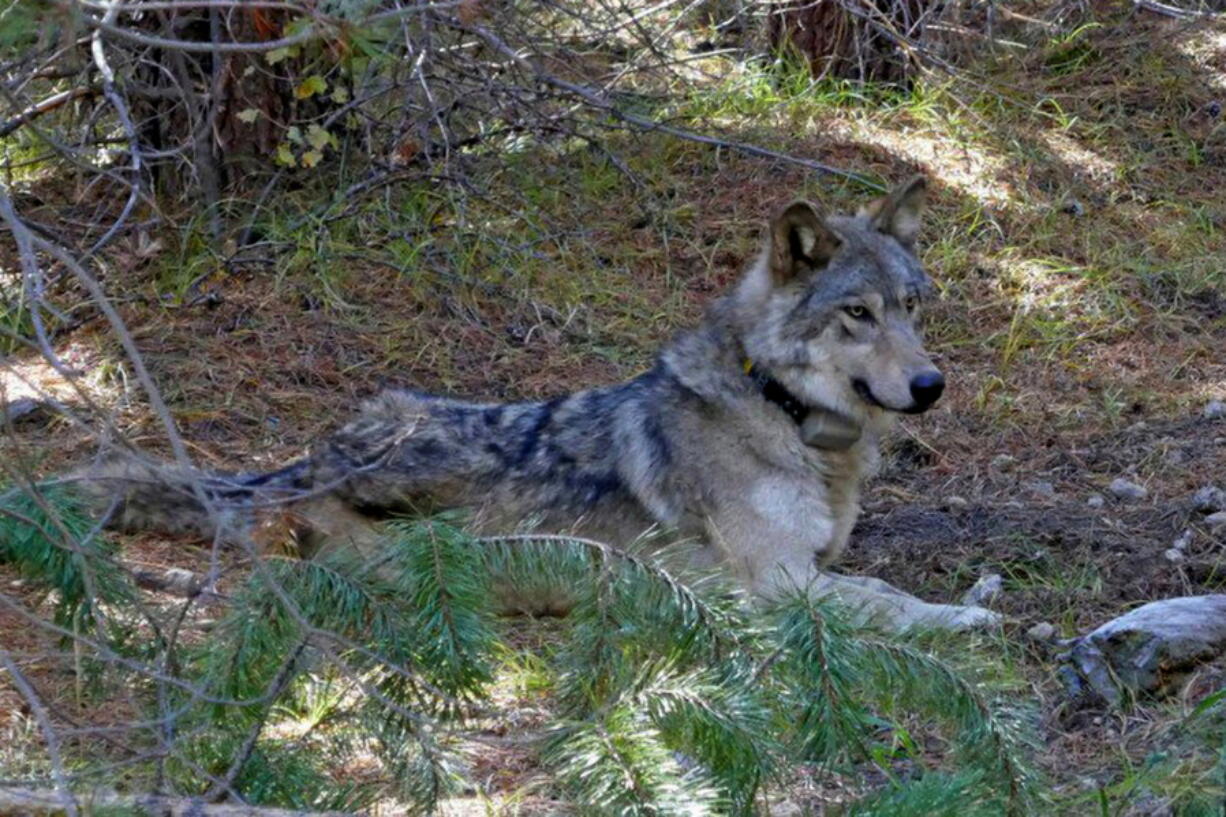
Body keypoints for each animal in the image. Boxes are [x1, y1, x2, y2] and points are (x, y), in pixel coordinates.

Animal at [83, 176, 1005, 628]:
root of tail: (302, 463)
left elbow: (875, 580)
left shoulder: (812, 564)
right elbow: (889, 603)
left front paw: (977, 594)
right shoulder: (777, 582)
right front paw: (960, 617)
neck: (781, 411)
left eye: (911, 307)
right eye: (859, 313)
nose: (932, 385)